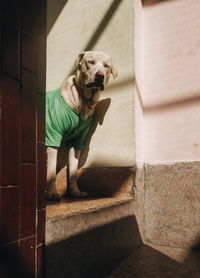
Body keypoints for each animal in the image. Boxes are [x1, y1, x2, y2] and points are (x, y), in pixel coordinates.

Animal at [46, 50, 118, 200]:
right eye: (90, 62)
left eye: (106, 66)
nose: (100, 75)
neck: (83, 101)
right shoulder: (53, 136)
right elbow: (51, 171)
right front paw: (52, 193)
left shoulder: (77, 141)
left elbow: (73, 171)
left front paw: (75, 191)